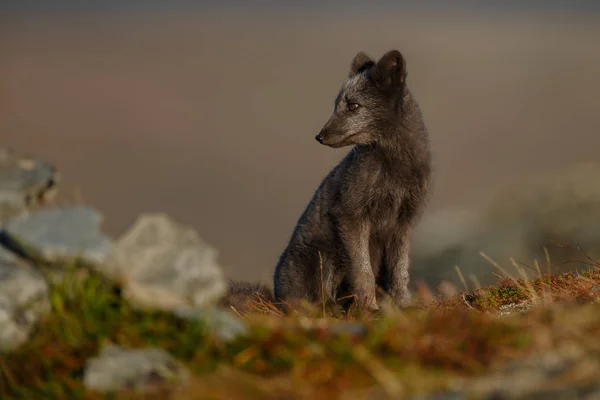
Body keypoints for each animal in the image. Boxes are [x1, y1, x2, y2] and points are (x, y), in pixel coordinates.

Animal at [272, 50, 432, 312]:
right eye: (336, 105)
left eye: (353, 106)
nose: (319, 136)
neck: (394, 171)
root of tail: (277, 292)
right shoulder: (350, 215)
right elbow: (363, 271)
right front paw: (370, 309)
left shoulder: (404, 222)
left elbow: (400, 270)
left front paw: (403, 305)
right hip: (323, 256)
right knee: (317, 298)